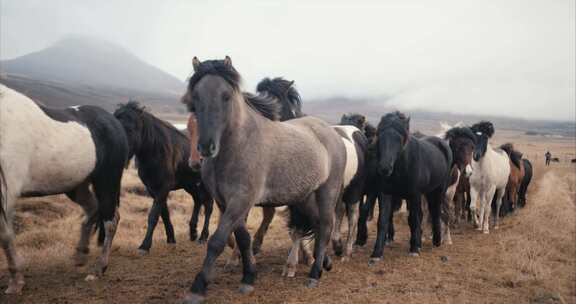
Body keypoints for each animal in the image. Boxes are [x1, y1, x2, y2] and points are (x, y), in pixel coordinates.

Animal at [0, 84, 128, 294]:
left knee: (110, 221)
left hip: (106, 181)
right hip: (77, 185)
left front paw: (16, 282)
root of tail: (114, 121)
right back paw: (80, 255)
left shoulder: (6, 192)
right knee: (93, 209)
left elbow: (5, 234)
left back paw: (98, 269)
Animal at [111, 101, 213, 253]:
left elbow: (153, 215)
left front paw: (144, 245)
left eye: (130, 128)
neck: (154, 150)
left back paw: (203, 236)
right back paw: (193, 232)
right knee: (198, 200)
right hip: (190, 184)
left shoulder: (163, 188)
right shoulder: (153, 189)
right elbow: (164, 213)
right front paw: (171, 238)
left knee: (208, 205)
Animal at [182, 56, 348, 302]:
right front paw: (248, 277)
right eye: (196, 96)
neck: (237, 146)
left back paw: (314, 274)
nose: (205, 147)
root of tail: (332, 132)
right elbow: (243, 239)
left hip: (327, 191)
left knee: (327, 224)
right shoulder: (226, 203)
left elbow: (217, 241)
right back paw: (324, 264)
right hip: (305, 196)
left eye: (226, 95)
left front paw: (198, 288)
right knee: (318, 224)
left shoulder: (241, 200)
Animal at [366, 111, 452, 262]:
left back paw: (436, 241)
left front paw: (414, 249)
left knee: (435, 212)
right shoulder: (386, 194)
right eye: (380, 135)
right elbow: (383, 221)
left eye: (400, 138)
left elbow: (414, 220)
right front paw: (376, 253)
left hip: (438, 190)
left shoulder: (414, 195)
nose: (384, 168)